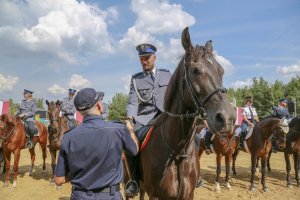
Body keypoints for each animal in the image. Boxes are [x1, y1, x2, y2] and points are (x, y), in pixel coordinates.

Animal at [134, 27, 237, 200]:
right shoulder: (155, 195)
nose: (227, 119)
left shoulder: (189, 194)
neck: (178, 152)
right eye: (195, 70)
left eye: (221, 71)